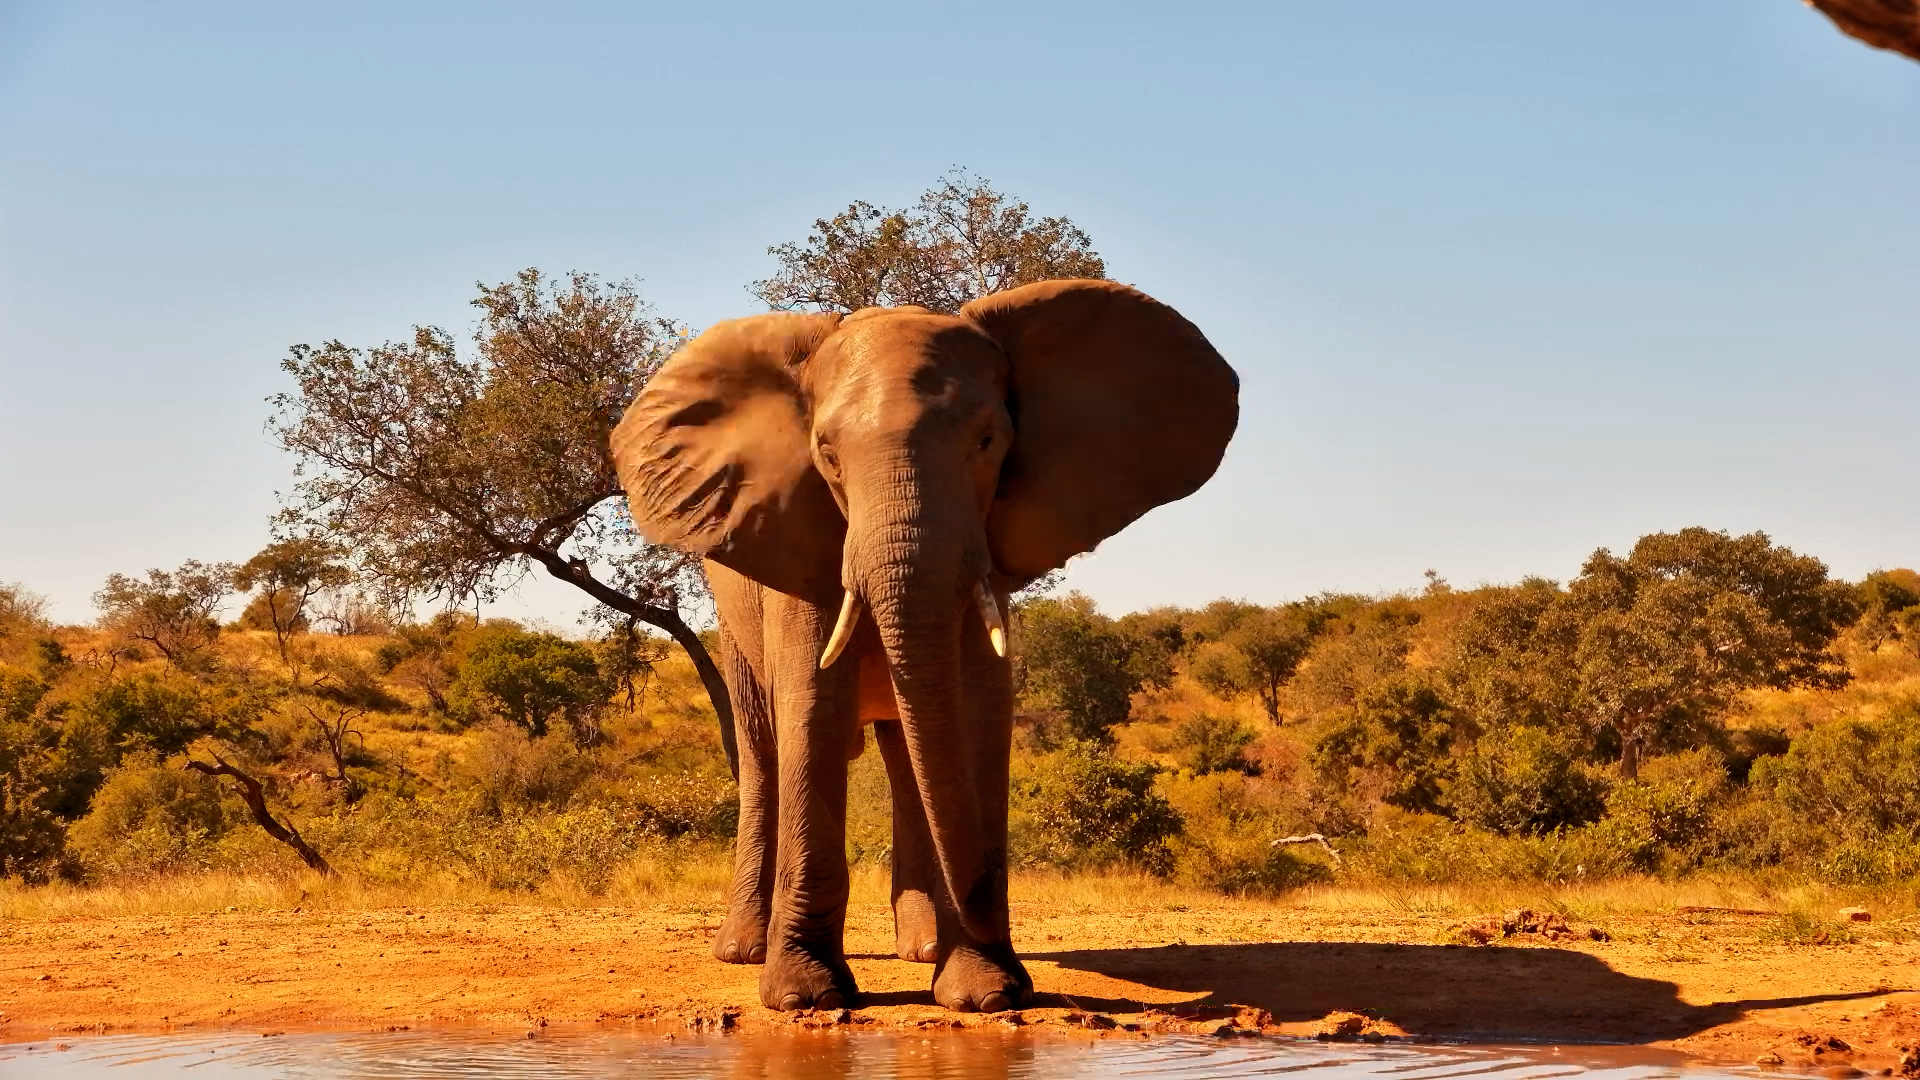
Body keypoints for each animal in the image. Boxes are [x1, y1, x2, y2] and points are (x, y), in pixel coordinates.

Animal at [610, 278, 1238, 1012]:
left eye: (989, 441)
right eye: (826, 453)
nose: (987, 919)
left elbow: (974, 708)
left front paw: (983, 994)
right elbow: (813, 710)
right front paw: (806, 997)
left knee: (905, 751)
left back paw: (924, 949)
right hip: (728, 606)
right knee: (764, 745)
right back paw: (743, 951)